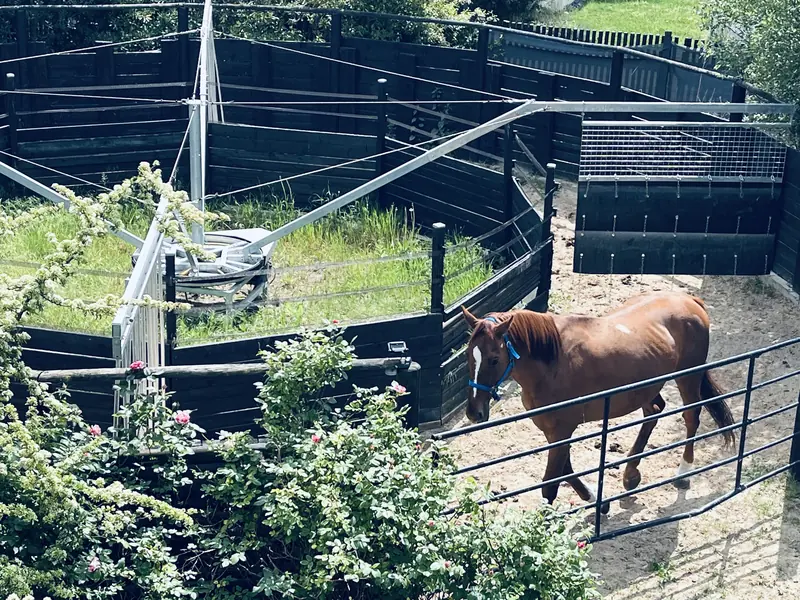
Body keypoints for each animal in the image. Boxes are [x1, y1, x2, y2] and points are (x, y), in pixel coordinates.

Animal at [461, 291, 736, 512]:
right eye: (469, 356)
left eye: (494, 359)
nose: (474, 412)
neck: (553, 362)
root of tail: (689, 299)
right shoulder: (553, 431)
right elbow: (566, 471)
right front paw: (597, 500)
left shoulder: (561, 431)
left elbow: (550, 484)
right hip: (646, 387)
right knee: (654, 410)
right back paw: (631, 474)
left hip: (688, 376)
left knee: (691, 417)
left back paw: (683, 473)